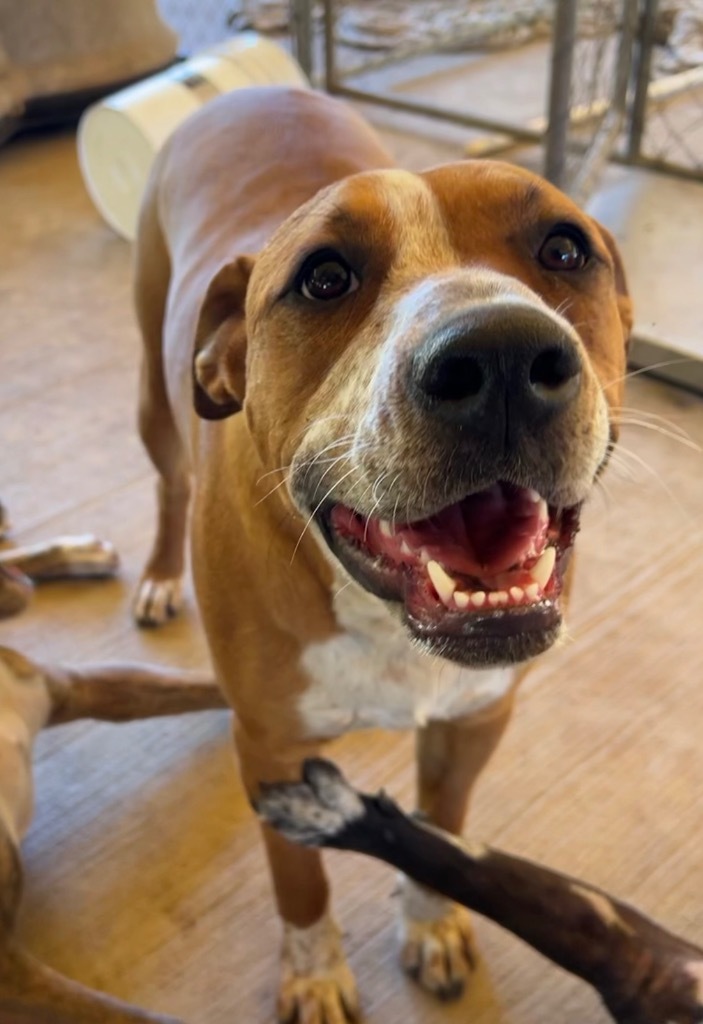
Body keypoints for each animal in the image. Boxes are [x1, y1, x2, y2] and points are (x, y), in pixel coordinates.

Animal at [132, 88, 634, 1024]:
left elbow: (445, 828)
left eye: (563, 247)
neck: (381, 616)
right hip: (153, 390)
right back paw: (153, 575)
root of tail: (244, 90)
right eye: (323, 277)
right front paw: (314, 971)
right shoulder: (270, 752)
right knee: (167, 481)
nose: (501, 353)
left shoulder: (475, 720)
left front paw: (431, 920)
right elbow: (298, 882)